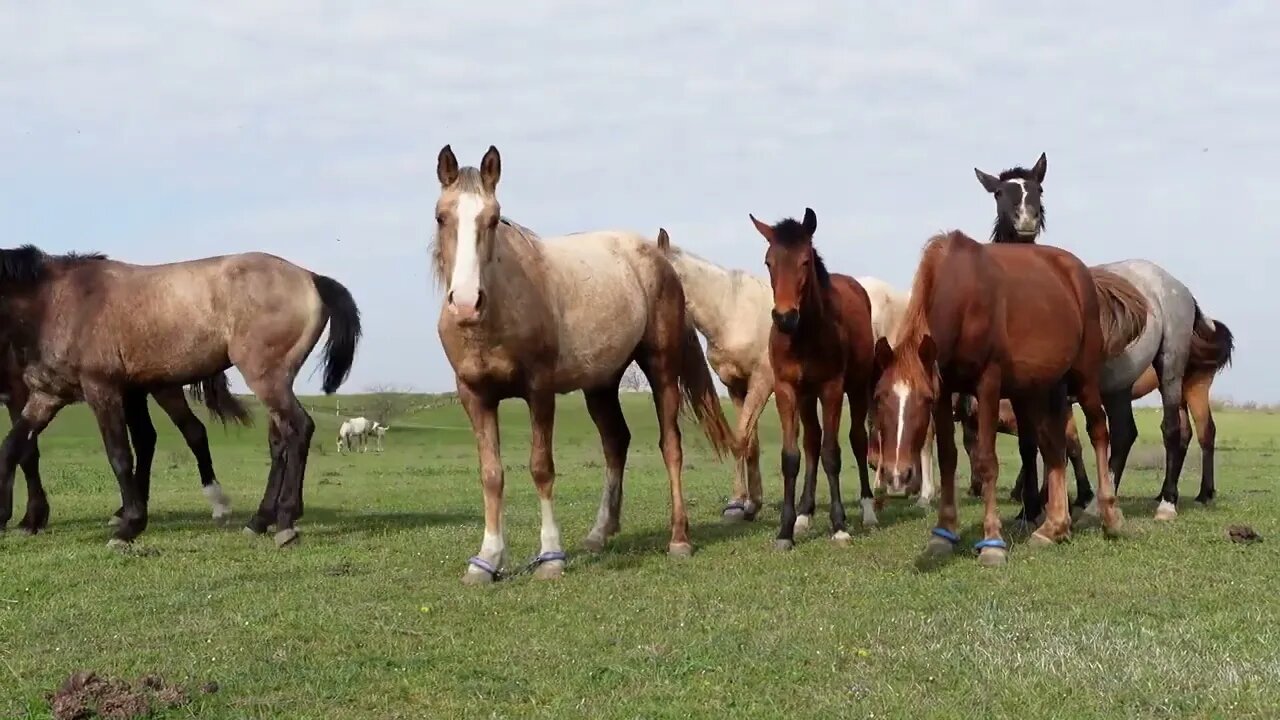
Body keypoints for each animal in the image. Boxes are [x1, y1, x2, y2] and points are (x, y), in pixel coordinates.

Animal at [0, 244, 360, 543]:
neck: (59, 301)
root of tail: (310, 277)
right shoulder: (46, 396)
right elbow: (13, 447)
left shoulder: (102, 391)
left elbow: (120, 456)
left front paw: (130, 525)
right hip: (273, 382)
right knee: (279, 441)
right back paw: (259, 520)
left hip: (264, 379)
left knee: (299, 429)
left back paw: (284, 521)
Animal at [430, 144, 732, 584]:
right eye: (442, 216)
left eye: (493, 218)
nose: (467, 302)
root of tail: (658, 257)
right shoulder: (475, 396)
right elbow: (491, 474)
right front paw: (486, 560)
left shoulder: (539, 391)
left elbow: (541, 468)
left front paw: (551, 557)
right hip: (600, 384)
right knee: (616, 442)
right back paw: (599, 532)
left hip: (660, 368)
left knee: (670, 446)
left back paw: (679, 539)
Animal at [747, 208, 880, 548]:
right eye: (769, 262)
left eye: (805, 261)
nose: (785, 317)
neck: (803, 336)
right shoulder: (786, 390)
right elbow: (792, 456)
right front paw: (786, 530)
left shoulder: (832, 389)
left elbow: (832, 453)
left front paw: (839, 526)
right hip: (806, 397)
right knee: (811, 442)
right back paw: (805, 514)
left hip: (856, 389)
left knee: (857, 440)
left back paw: (868, 510)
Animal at [870, 229, 1121, 566]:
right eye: (879, 397)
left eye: (923, 399)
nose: (897, 475)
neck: (963, 298)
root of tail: (1077, 272)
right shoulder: (945, 387)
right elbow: (948, 459)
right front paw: (942, 535)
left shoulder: (987, 384)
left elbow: (986, 461)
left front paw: (992, 542)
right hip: (1045, 387)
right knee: (1055, 447)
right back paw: (1054, 527)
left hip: (1085, 377)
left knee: (1097, 431)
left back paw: (1110, 517)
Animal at [972, 151, 1233, 515]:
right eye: (999, 192)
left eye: (1038, 189)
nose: (1027, 219)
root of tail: (1177, 286)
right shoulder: (1024, 394)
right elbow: (1029, 445)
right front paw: (1030, 510)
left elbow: (1056, 445)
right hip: (1119, 384)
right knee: (1126, 433)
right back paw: (1102, 501)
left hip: (1172, 367)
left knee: (1173, 428)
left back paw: (1167, 501)